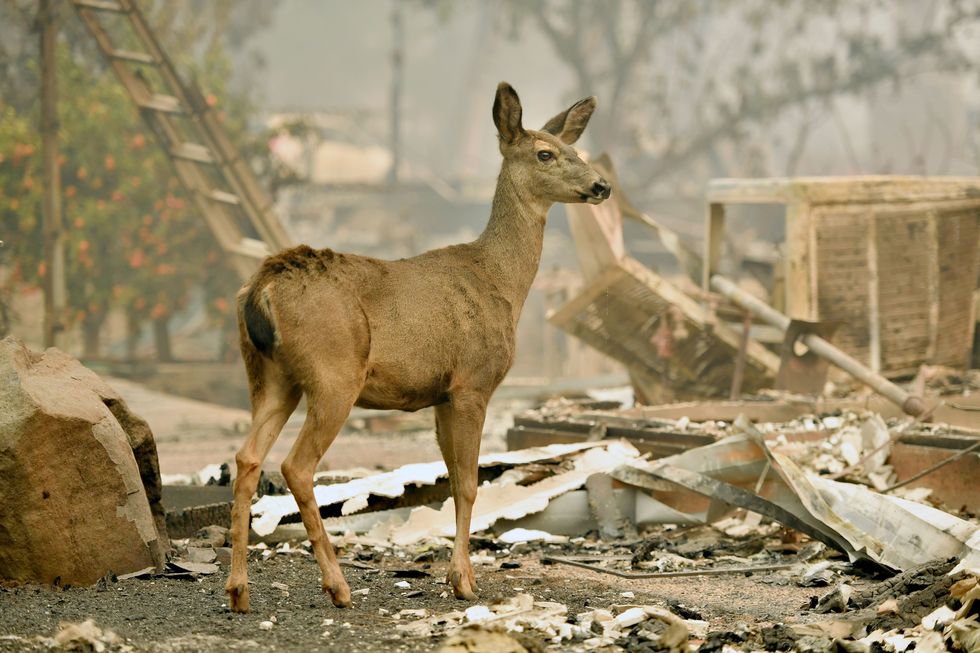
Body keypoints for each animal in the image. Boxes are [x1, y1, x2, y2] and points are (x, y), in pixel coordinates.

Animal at [225, 83, 608, 612]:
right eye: (544, 153)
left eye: (576, 149)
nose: (601, 185)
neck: (502, 283)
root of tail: (262, 286)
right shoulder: (472, 382)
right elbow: (468, 483)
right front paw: (463, 581)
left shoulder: (441, 395)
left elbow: (452, 482)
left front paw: (458, 574)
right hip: (333, 372)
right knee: (295, 466)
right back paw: (338, 586)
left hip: (269, 374)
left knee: (246, 458)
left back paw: (238, 591)